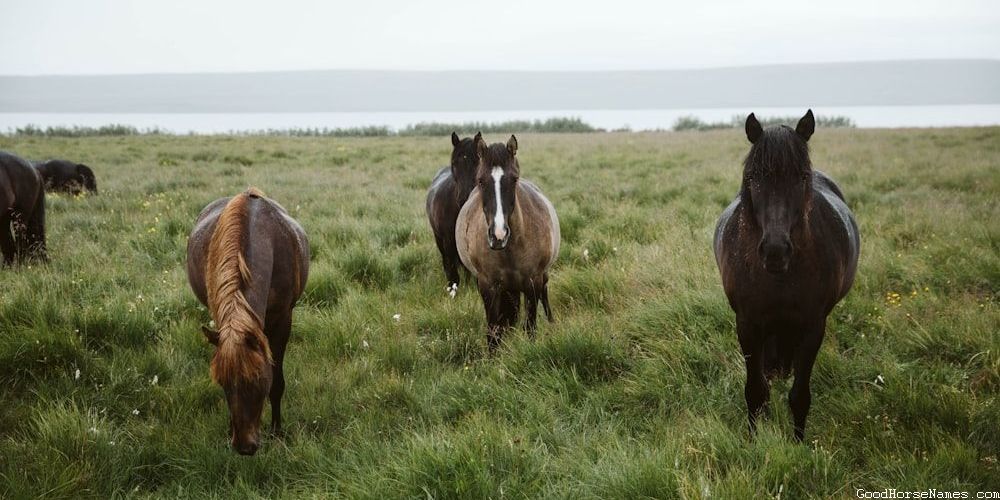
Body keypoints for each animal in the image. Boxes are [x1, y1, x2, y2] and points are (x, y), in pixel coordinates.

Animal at [186, 187, 310, 455]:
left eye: (257, 379)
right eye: (222, 382)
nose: (244, 447)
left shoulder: (282, 322)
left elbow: (277, 382)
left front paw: (277, 431)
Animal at [426, 131, 480, 293]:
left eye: (477, 162)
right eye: (455, 163)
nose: (464, 197)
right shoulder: (448, 240)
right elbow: (452, 268)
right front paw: (453, 288)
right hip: (439, 238)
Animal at [456, 134, 560, 351]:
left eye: (514, 179)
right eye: (480, 180)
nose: (499, 235)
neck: (510, 250)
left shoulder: (532, 283)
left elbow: (530, 327)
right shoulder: (488, 286)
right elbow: (493, 331)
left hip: (541, 278)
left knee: (545, 297)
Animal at [713, 110, 860, 441]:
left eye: (802, 177)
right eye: (753, 177)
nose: (775, 250)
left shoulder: (812, 327)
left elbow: (800, 395)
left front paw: (798, 443)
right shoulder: (747, 325)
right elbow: (755, 391)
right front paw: (753, 440)